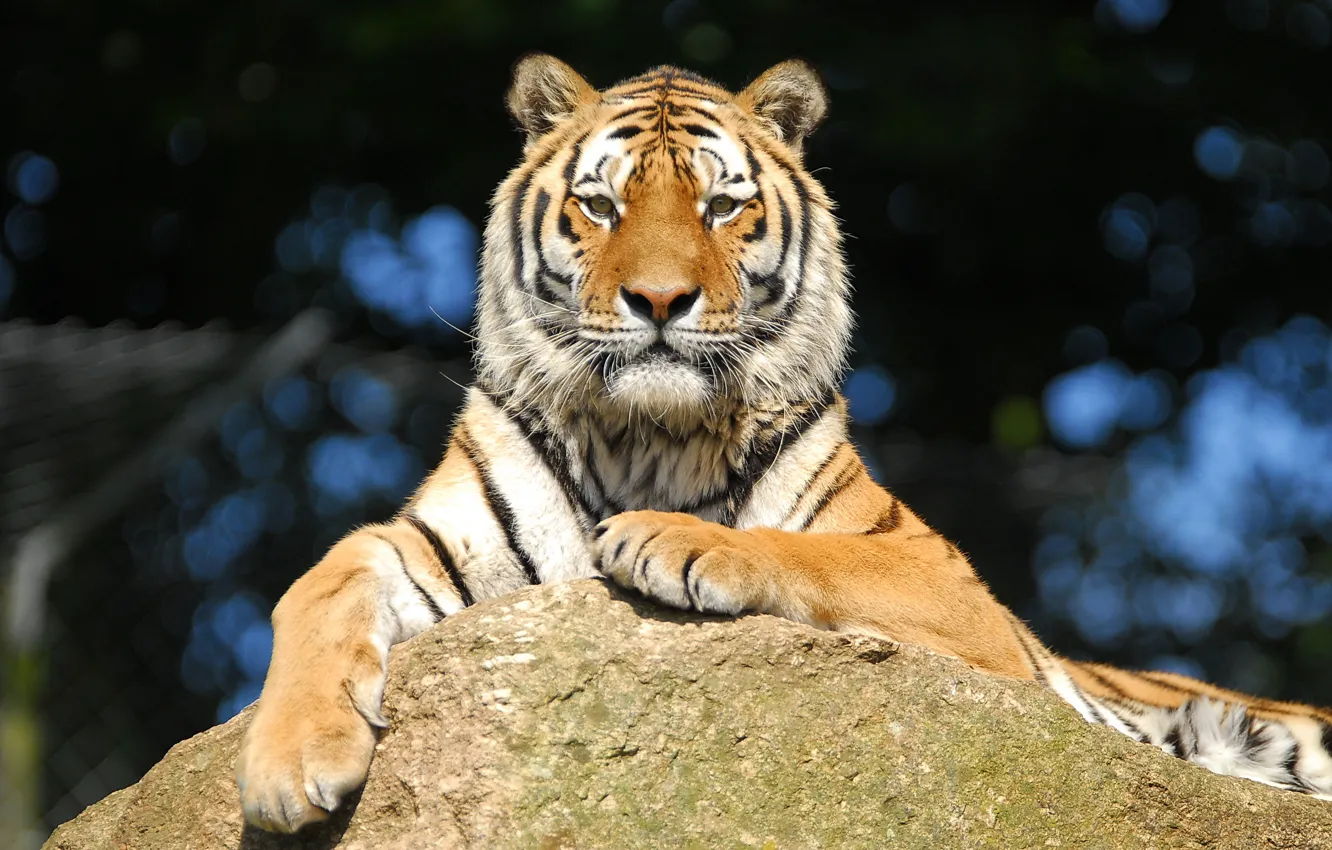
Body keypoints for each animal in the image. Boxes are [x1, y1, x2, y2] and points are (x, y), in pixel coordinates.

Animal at [235, 54, 1332, 833]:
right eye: (602, 203)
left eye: (722, 204)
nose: (660, 300)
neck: (645, 435)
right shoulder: (440, 546)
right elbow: (318, 578)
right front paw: (289, 764)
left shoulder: (947, 584)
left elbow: (805, 550)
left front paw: (672, 538)